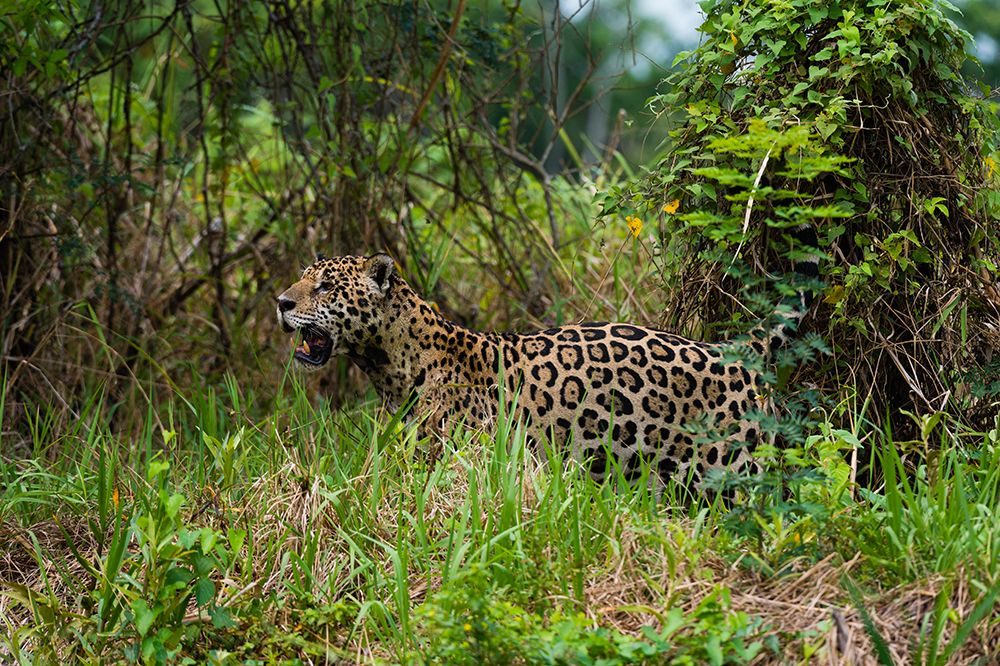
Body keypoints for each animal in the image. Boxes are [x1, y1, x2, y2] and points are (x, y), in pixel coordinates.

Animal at [276, 239, 817, 490]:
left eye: (325, 286)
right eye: (302, 279)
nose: (281, 302)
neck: (389, 362)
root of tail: (736, 350)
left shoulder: (464, 458)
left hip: (738, 469)